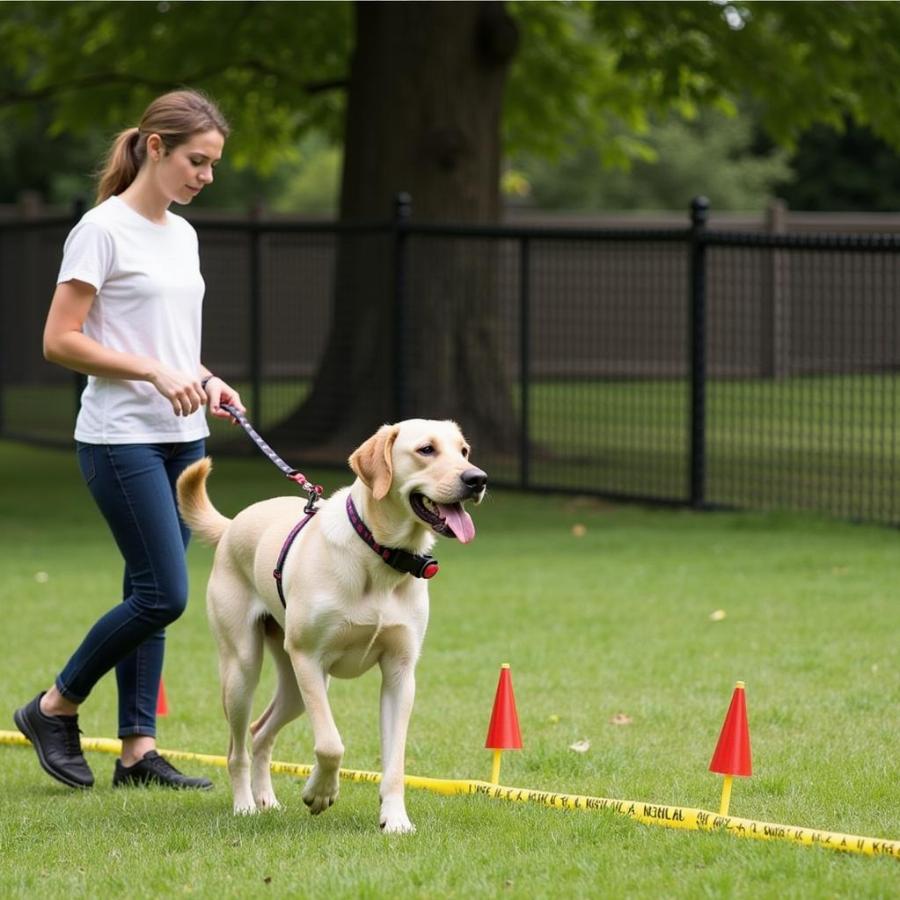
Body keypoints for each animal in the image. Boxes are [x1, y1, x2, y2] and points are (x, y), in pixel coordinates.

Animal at [177, 418, 486, 832]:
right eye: (426, 450)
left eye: (464, 451)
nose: (478, 479)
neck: (380, 555)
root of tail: (232, 525)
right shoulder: (308, 657)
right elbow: (330, 743)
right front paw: (320, 792)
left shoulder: (400, 673)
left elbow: (396, 761)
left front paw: (395, 819)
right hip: (245, 670)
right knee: (236, 748)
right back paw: (244, 804)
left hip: (294, 687)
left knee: (260, 732)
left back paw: (266, 798)